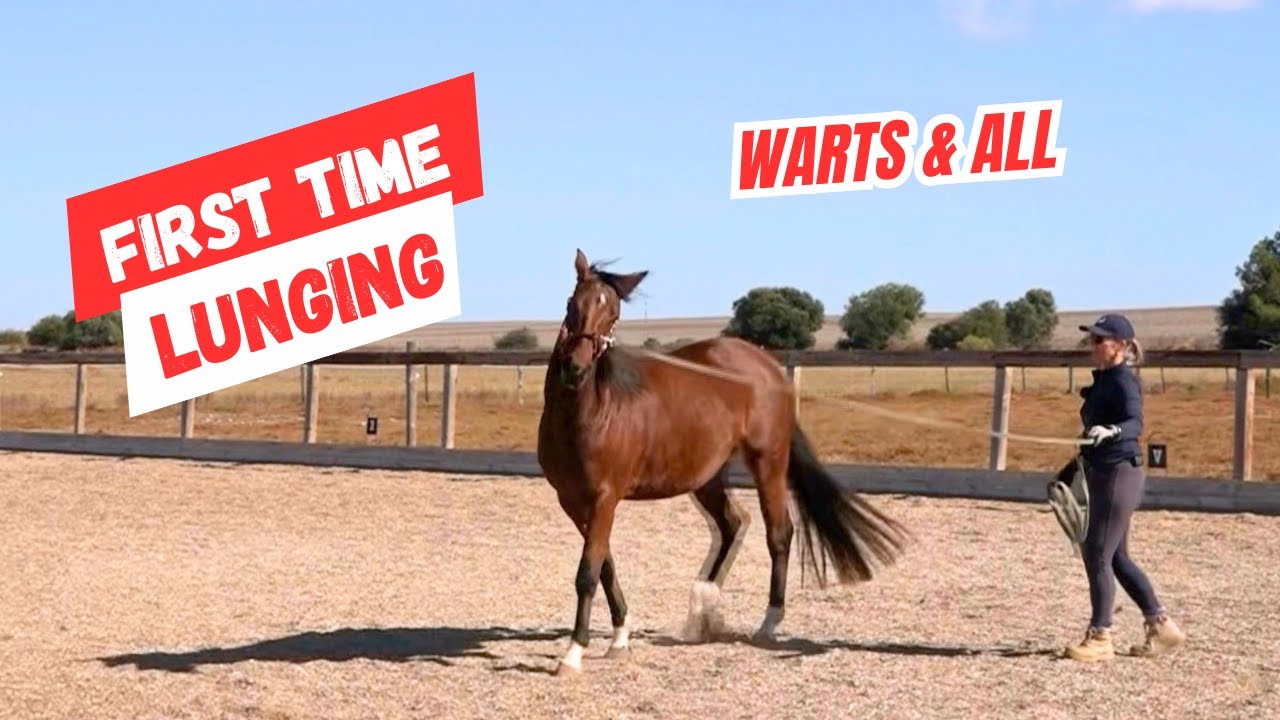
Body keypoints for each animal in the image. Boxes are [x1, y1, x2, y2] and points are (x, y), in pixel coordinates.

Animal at [536, 249, 910, 676]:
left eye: (613, 313)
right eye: (573, 303)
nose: (576, 368)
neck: (586, 413)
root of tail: (769, 368)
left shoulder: (604, 498)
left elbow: (588, 572)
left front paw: (573, 653)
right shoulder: (573, 501)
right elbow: (605, 564)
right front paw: (620, 637)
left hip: (767, 463)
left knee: (779, 533)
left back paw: (768, 622)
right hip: (707, 478)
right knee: (733, 524)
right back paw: (703, 606)